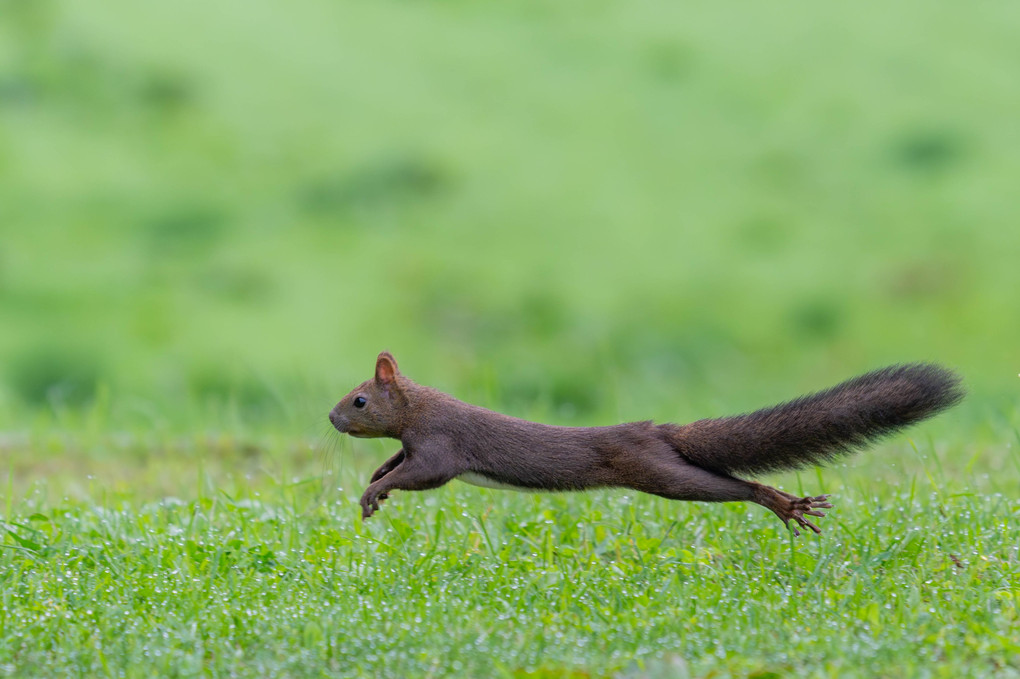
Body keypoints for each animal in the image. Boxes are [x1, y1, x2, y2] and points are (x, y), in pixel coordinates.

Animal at [328, 348, 962, 534]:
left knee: (732, 485)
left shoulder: (442, 445)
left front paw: (371, 494)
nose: (331, 418)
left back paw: (784, 503)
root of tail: (656, 430)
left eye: (358, 400)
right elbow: (396, 462)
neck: (420, 409)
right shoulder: (415, 445)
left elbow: (424, 473)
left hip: (660, 474)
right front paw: (376, 483)